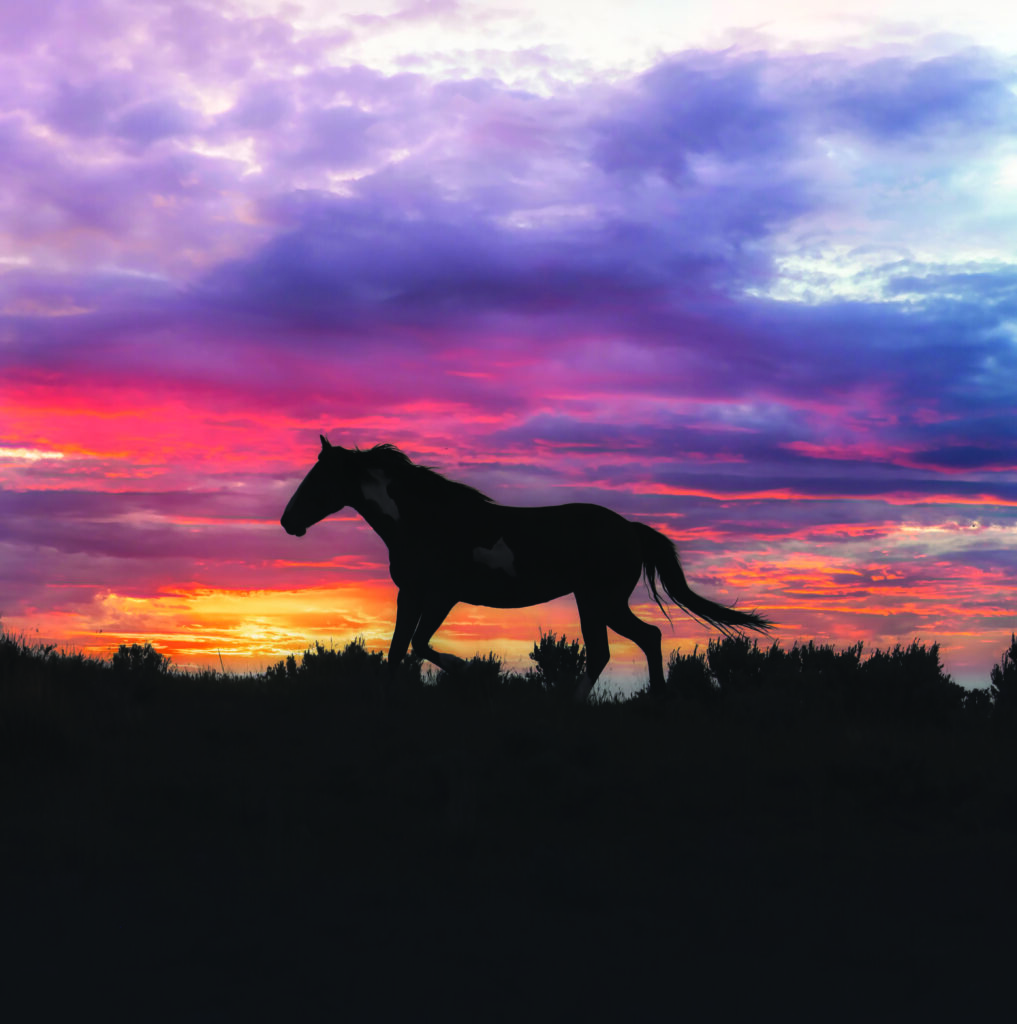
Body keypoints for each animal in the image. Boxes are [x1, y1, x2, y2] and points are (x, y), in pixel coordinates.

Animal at [280, 438, 773, 701]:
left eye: (318, 479)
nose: (288, 522)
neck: (428, 519)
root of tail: (630, 529)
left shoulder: (439, 594)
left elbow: (416, 645)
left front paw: (470, 670)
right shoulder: (416, 594)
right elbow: (400, 650)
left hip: (602, 599)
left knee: (637, 640)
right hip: (593, 600)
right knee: (618, 647)